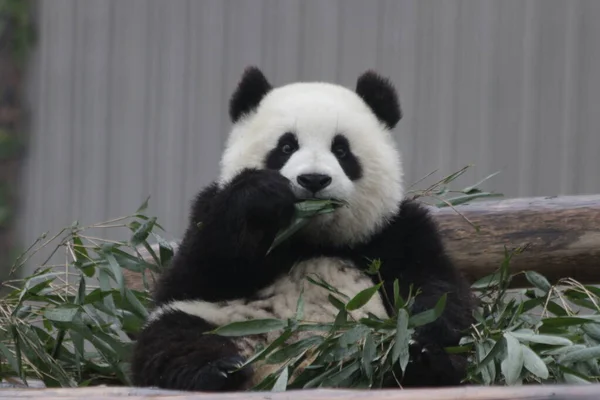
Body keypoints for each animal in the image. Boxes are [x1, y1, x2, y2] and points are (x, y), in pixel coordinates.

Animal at [132, 67, 478, 392]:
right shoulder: (207, 212)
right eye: (286, 146)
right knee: (171, 338)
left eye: (341, 150)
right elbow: (201, 271)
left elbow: (434, 286)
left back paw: (419, 361)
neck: (313, 238)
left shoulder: (392, 229)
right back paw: (220, 370)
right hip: (217, 320)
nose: (313, 180)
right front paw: (260, 194)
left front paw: (420, 337)